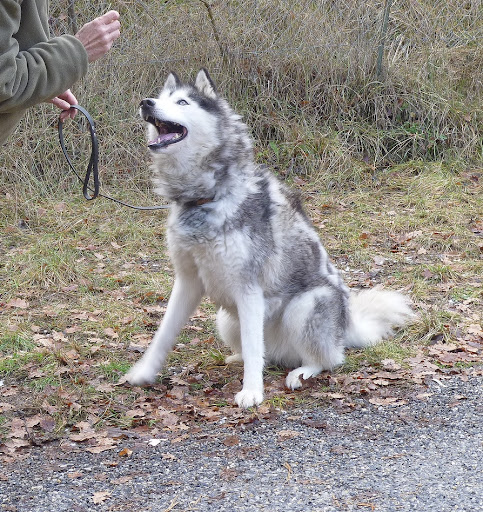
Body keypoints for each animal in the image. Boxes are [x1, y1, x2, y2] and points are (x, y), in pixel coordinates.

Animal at [125, 70, 412, 408]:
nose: (146, 102)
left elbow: (253, 348)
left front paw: (252, 391)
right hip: (226, 320)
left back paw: (302, 372)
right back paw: (239, 359)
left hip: (305, 306)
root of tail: (348, 325)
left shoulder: (248, 288)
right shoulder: (187, 281)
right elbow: (164, 334)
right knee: (263, 354)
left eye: (182, 102)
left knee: (327, 359)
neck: (208, 197)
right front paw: (144, 371)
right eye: (161, 98)